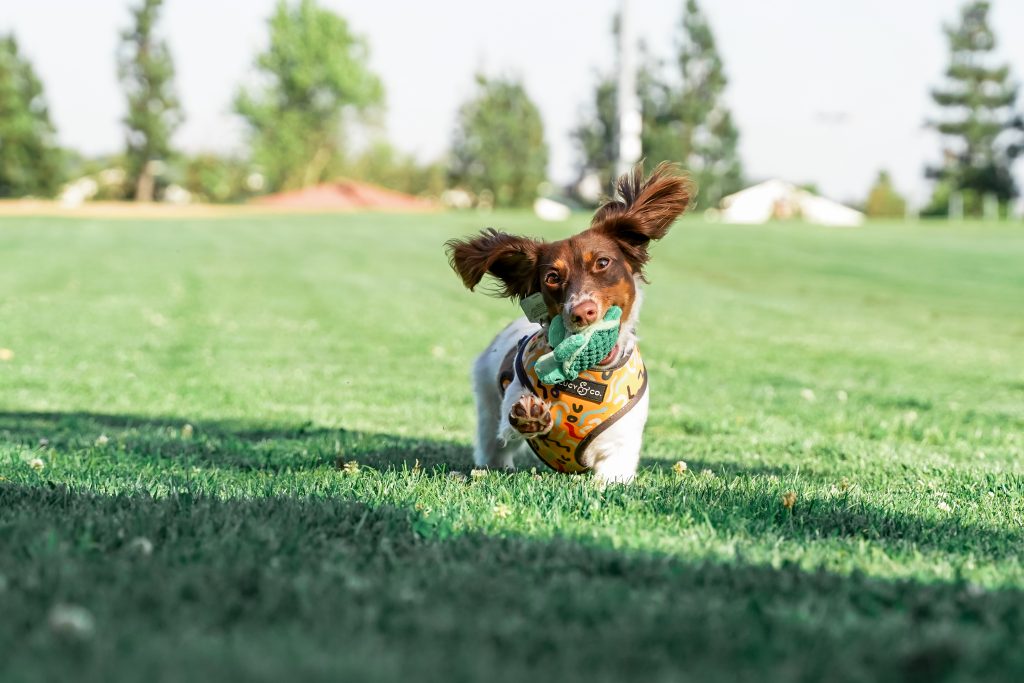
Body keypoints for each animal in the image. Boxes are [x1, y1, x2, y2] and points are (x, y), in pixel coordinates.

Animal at [446, 162, 692, 483]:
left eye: (602, 262)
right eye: (552, 277)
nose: (582, 312)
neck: (592, 372)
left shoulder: (621, 446)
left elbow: (613, 473)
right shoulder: (511, 399)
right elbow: (512, 419)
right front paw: (531, 415)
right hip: (487, 398)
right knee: (493, 442)